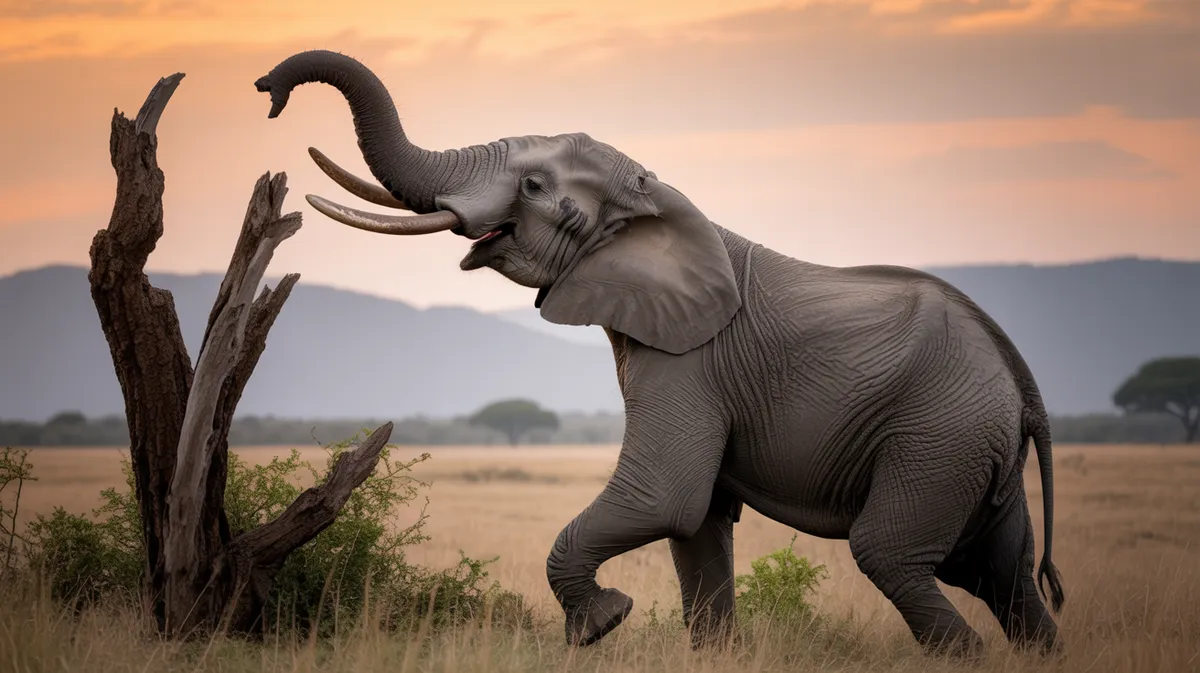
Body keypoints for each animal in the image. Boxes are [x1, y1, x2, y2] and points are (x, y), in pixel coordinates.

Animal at [255, 49, 1066, 657]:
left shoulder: (691, 359)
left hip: (936, 434)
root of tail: (1022, 381)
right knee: (1004, 573)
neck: (656, 198)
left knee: (895, 556)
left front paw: (601, 622)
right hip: (970, 447)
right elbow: (697, 522)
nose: (267, 93)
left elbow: (665, 496)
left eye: (533, 186)